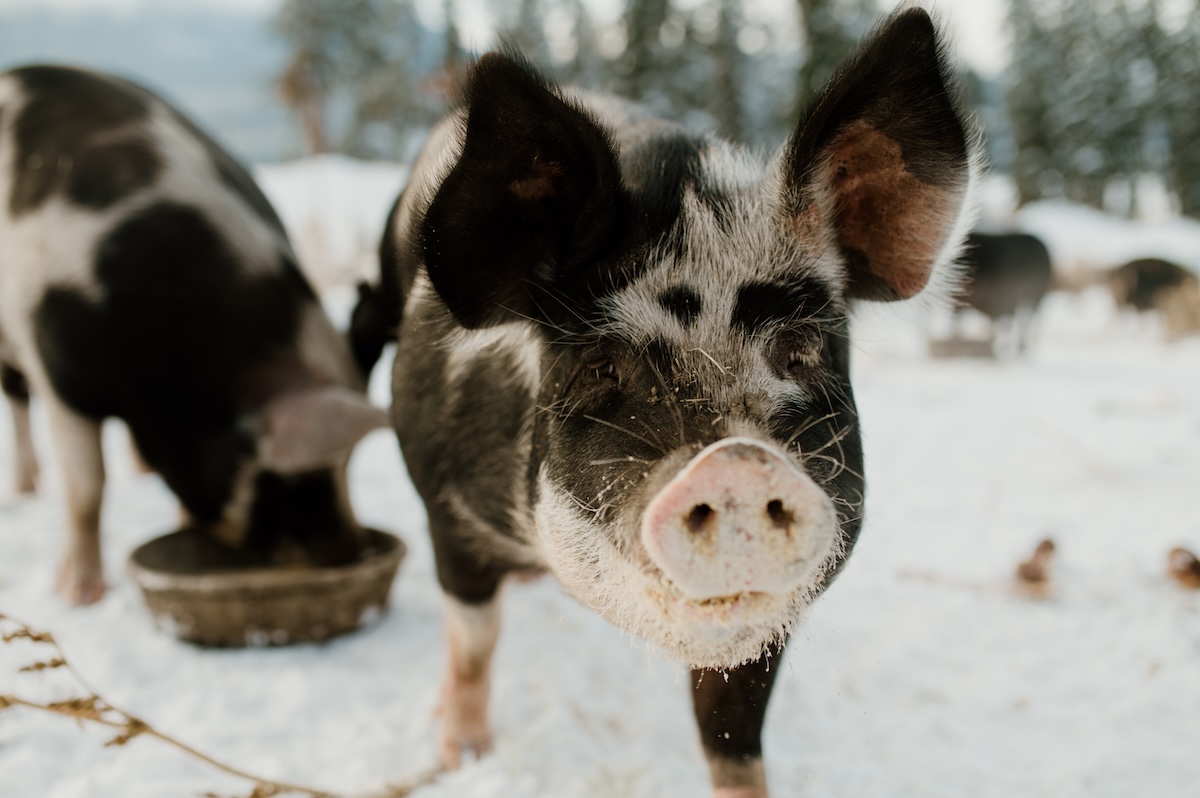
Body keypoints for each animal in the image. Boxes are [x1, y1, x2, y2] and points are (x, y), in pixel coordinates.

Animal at [0, 65, 387, 604]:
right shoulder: (60, 370)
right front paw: (79, 596)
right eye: (287, 482)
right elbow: (86, 487)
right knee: (16, 399)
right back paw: (24, 489)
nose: (348, 551)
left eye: (349, 463)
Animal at [388, 9, 977, 796]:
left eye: (798, 350)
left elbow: (732, 737)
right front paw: (463, 757)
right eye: (601, 364)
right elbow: (473, 640)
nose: (738, 463)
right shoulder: (448, 510)